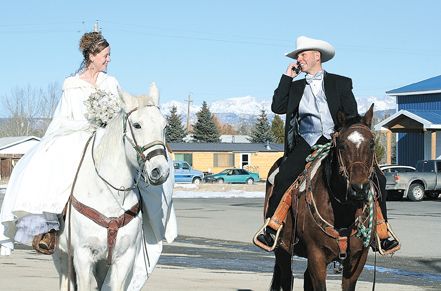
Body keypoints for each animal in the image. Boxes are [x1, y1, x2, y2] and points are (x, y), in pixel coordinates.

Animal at [51, 88, 168, 291]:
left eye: (164, 126)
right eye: (137, 125)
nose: (160, 170)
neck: (111, 196)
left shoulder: (125, 256)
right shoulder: (83, 255)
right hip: (62, 256)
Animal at [268, 105, 378, 291]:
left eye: (371, 144)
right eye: (342, 145)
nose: (359, 188)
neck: (342, 210)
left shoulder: (357, 258)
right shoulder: (316, 255)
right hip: (282, 249)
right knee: (286, 277)